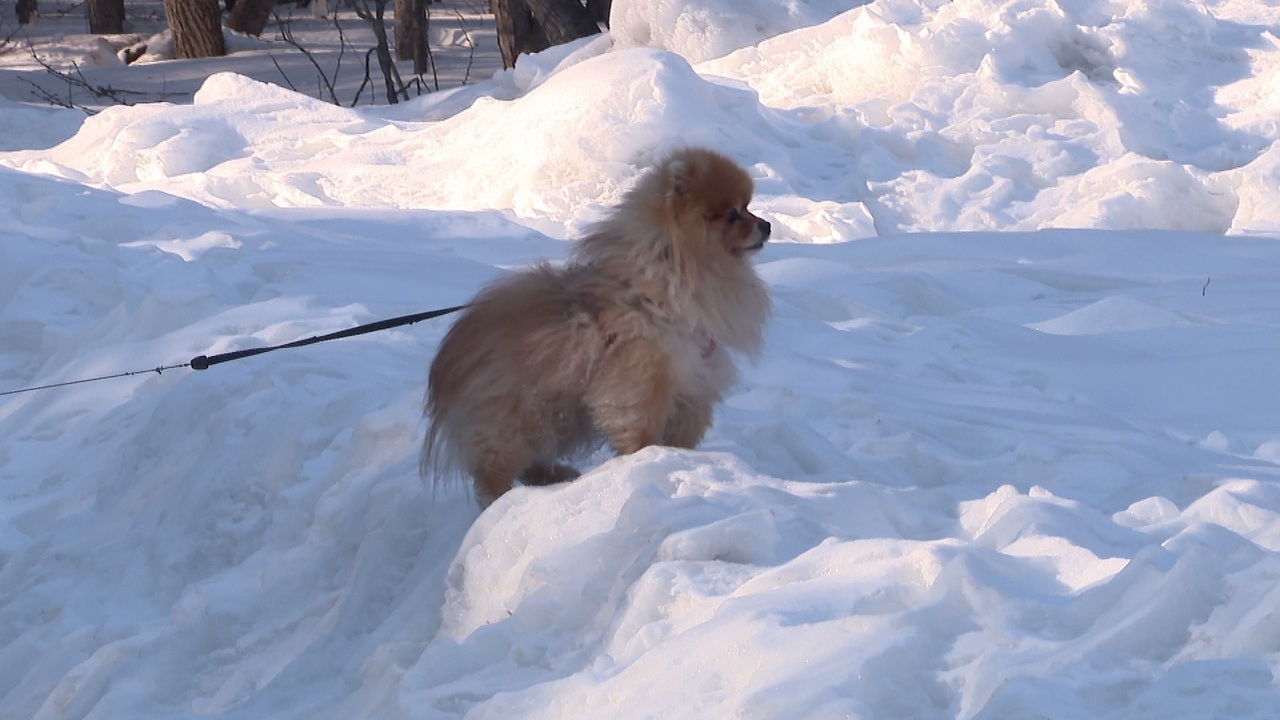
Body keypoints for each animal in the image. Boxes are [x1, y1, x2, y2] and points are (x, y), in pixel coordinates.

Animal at [424, 147, 773, 502]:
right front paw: (649, 460)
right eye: (732, 215)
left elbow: (683, 434)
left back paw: (555, 477)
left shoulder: (692, 387)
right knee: (495, 469)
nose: (767, 225)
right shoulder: (642, 381)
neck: (672, 272)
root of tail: (448, 362)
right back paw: (504, 502)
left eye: (748, 207)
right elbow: (641, 431)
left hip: (553, 417)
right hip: (519, 415)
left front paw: (681, 460)